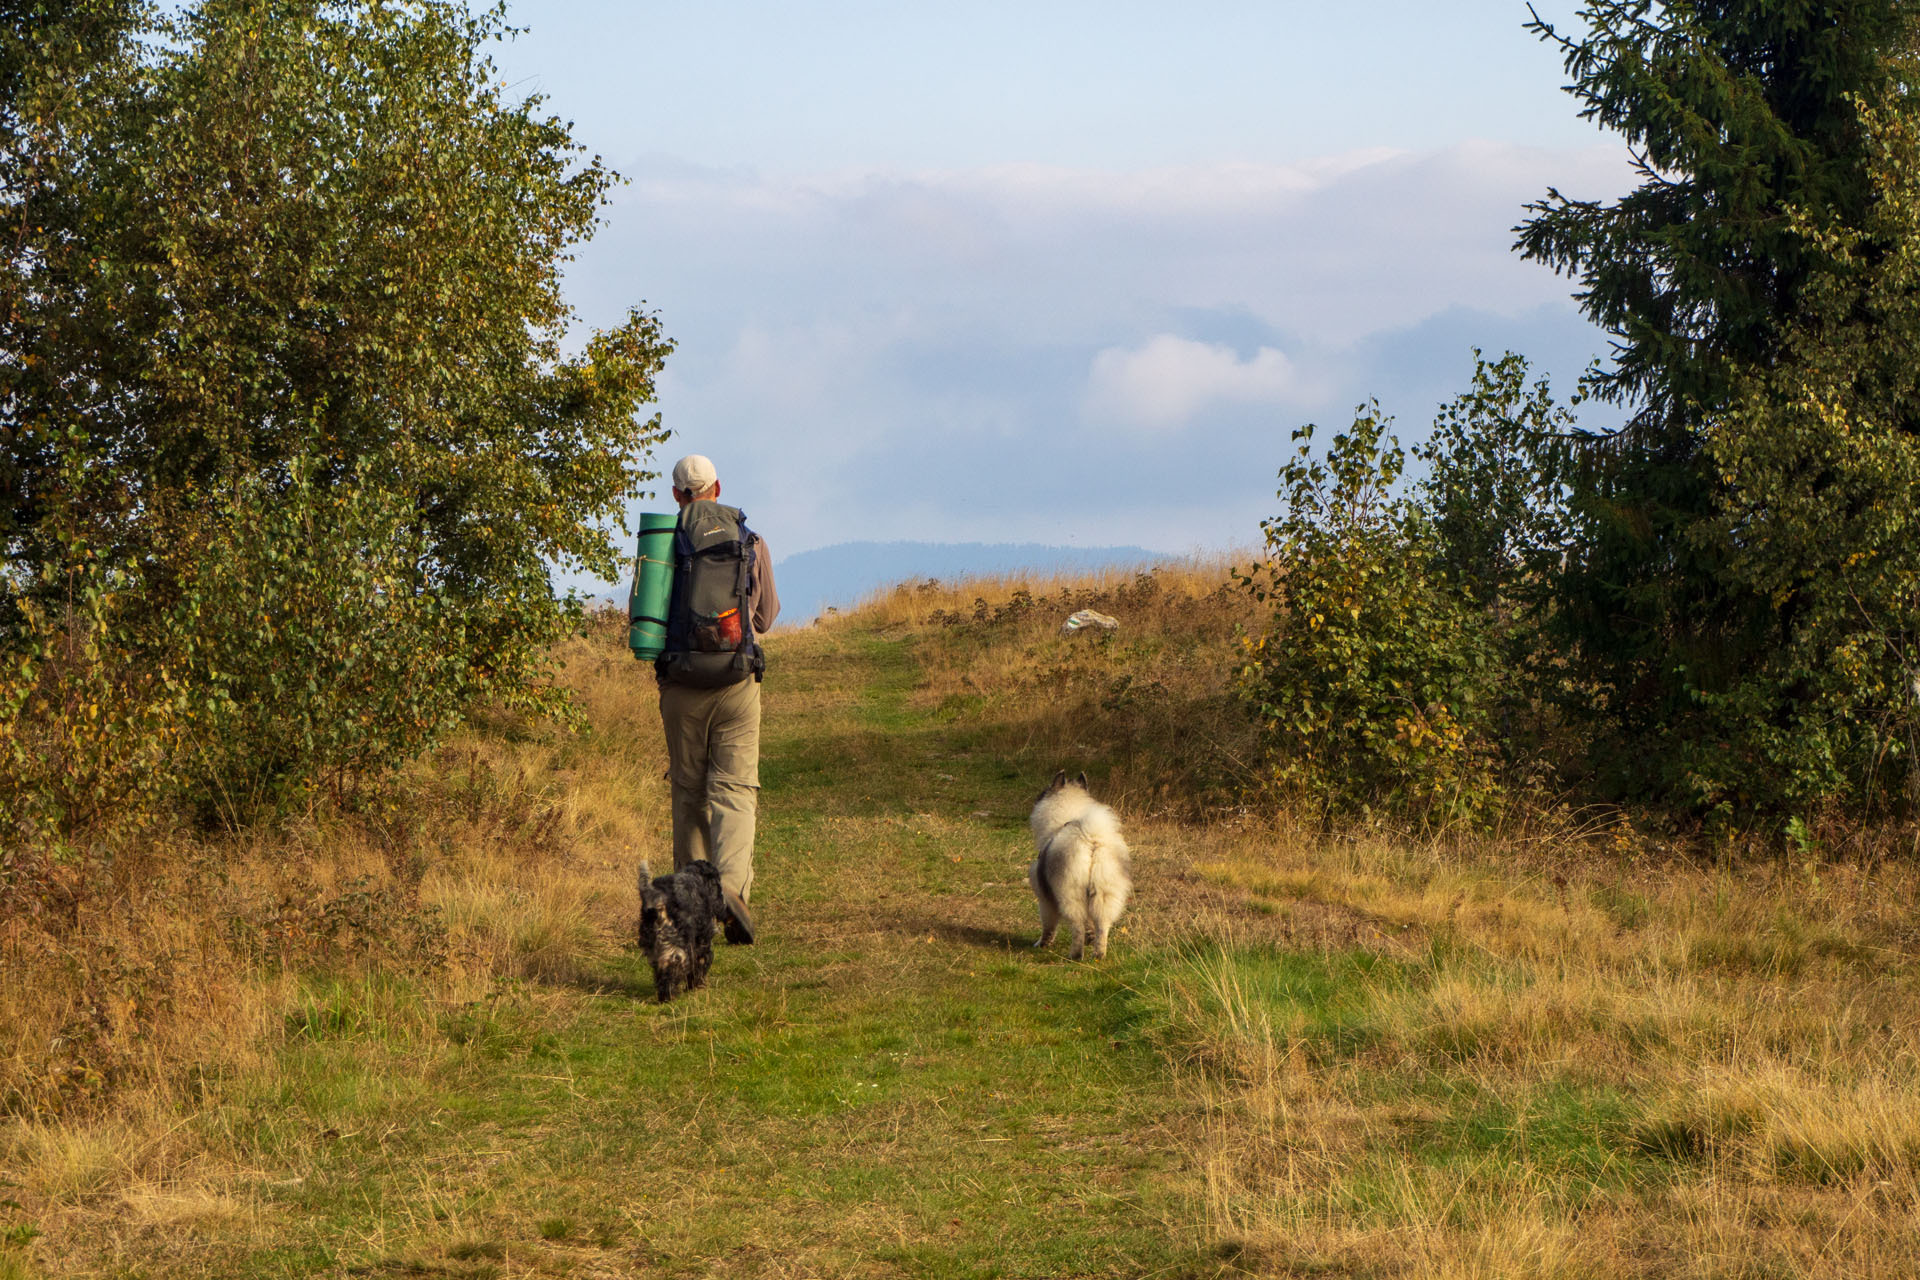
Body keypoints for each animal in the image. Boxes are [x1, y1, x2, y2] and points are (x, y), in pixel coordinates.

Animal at [637, 859, 725, 997]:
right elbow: (702, 962)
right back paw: (670, 994)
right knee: (672, 970)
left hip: (653, 947)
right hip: (677, 945)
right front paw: (696, 986)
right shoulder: (702, 941)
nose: (723, 903)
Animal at [1029, 771, 1128, 959]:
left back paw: (1075, 955)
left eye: (1043, 793)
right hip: (1105, 895)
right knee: (1102, 927)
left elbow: (1048, 926)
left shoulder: (1045, 899)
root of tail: (1091, 839)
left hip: (1070, 895)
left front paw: (1042, 944)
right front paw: (1090, 939)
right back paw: (1098, 955)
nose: (1036, 798)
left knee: (1077, 927)